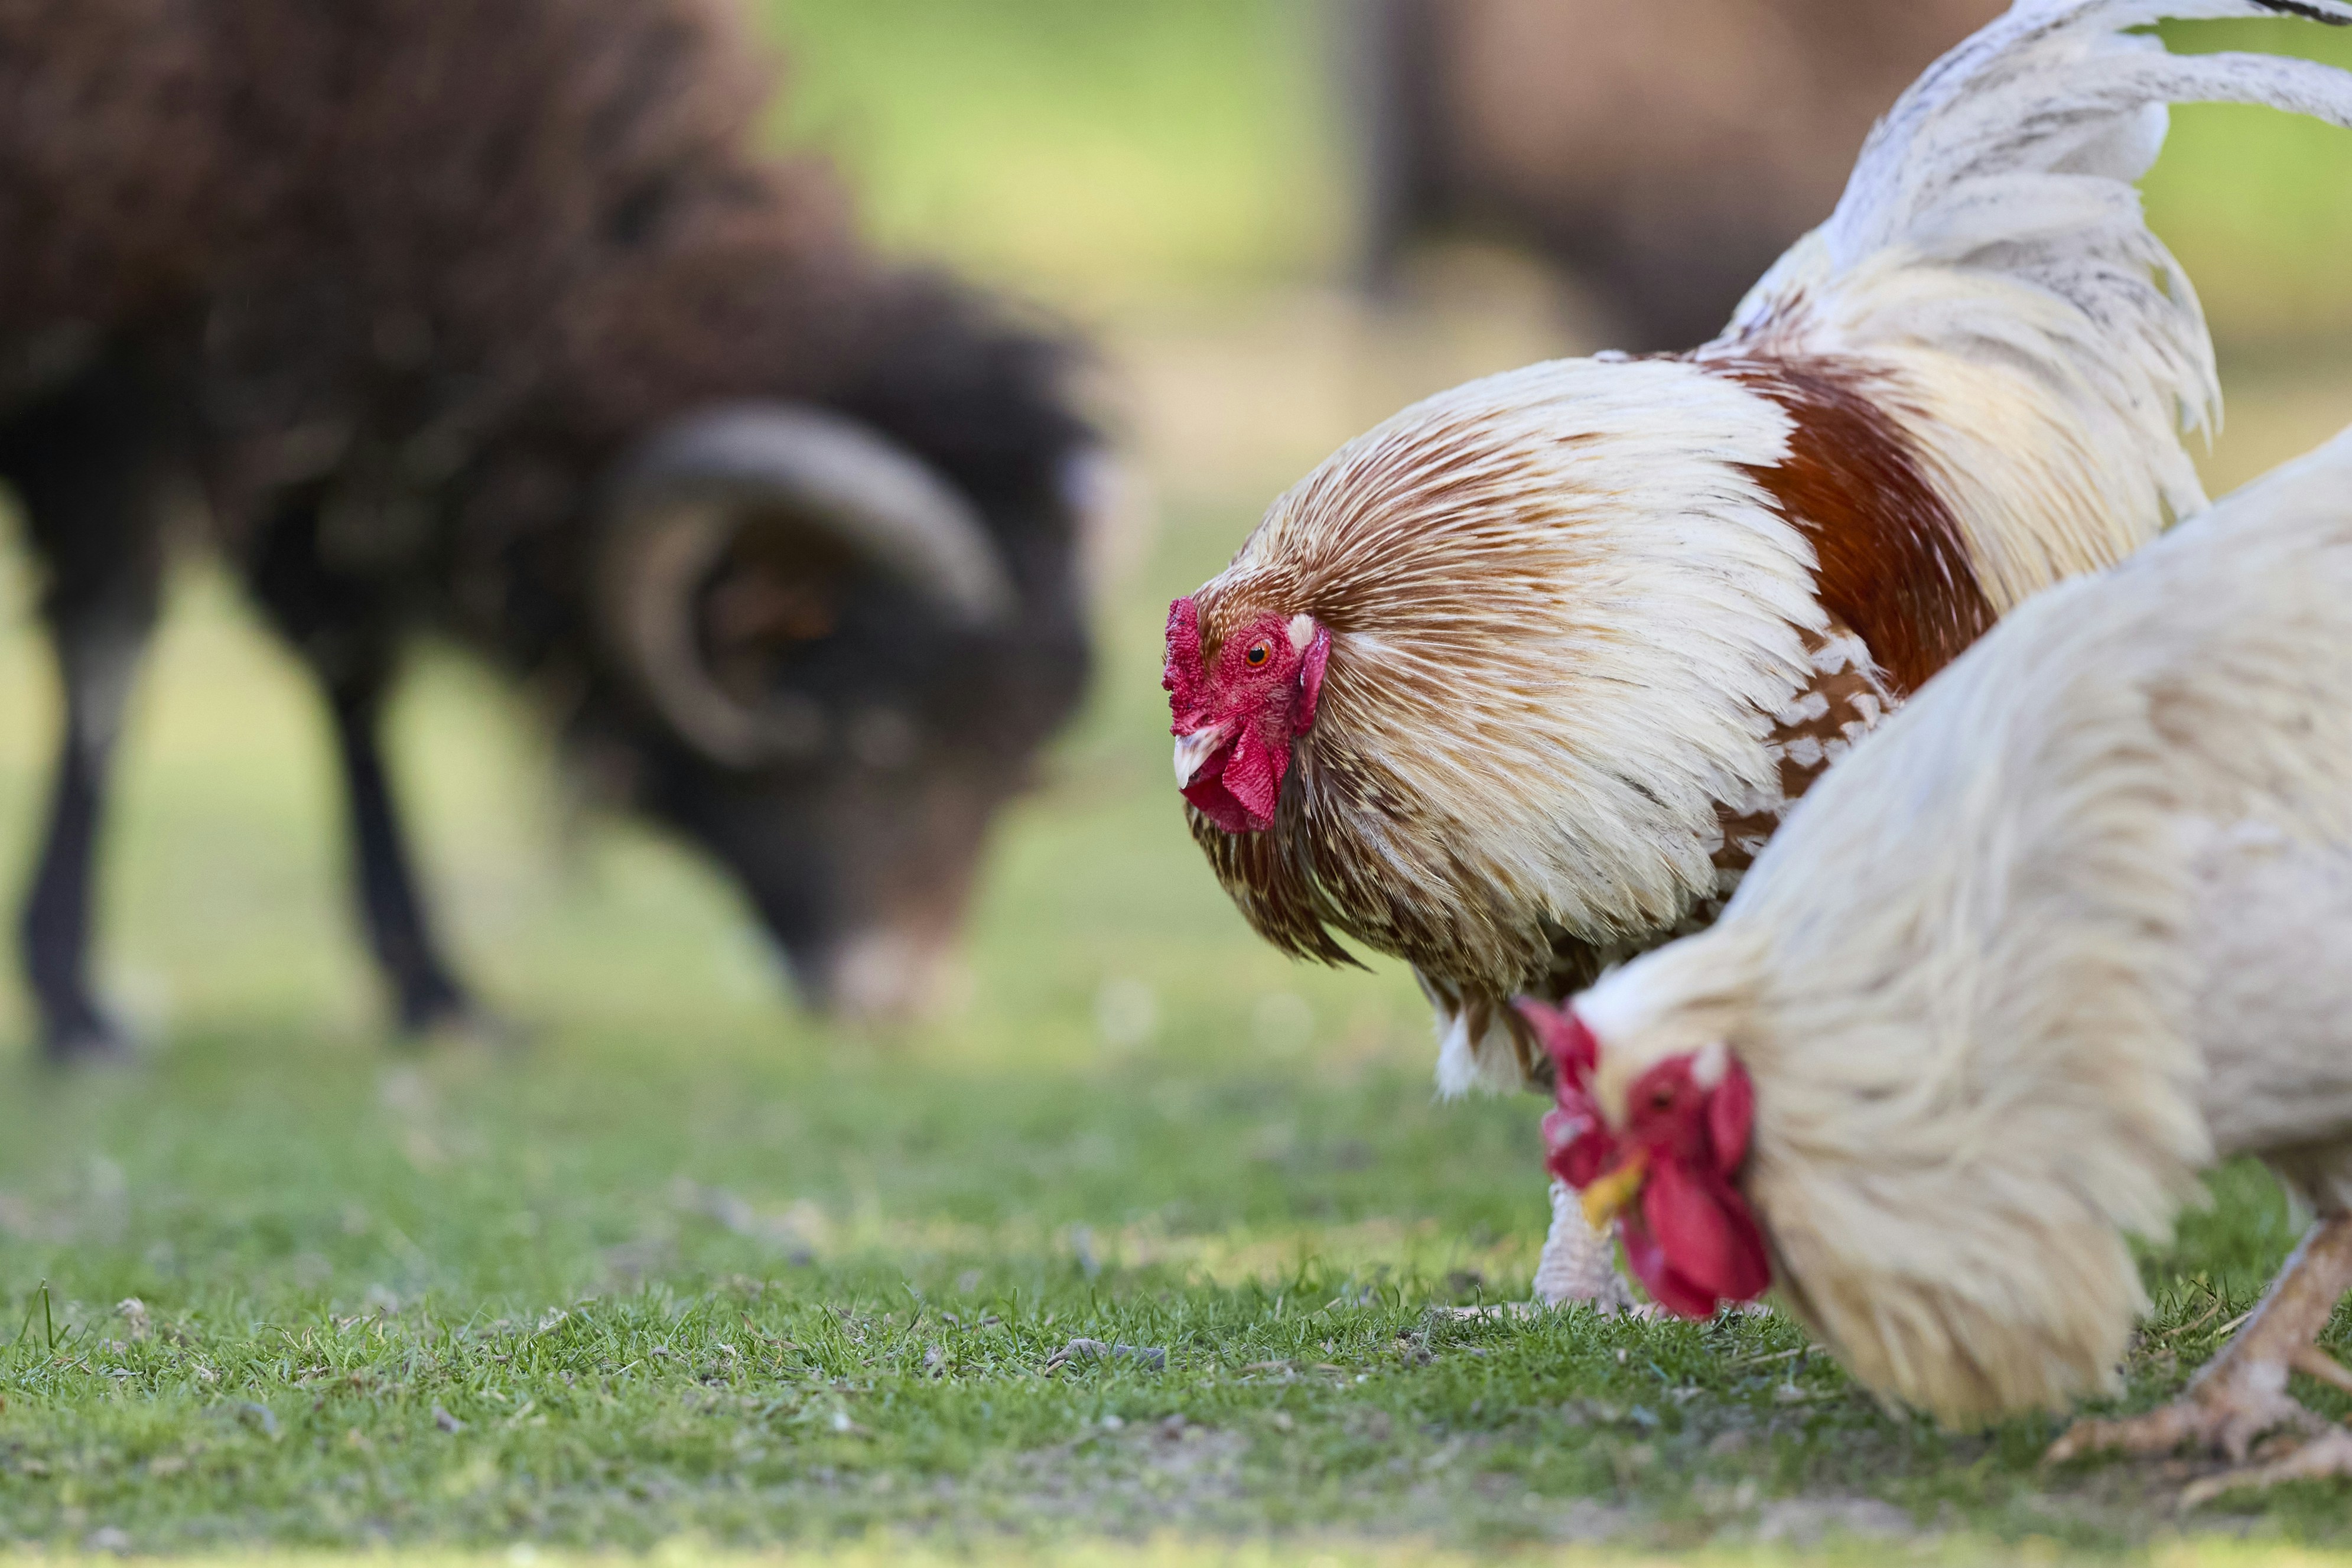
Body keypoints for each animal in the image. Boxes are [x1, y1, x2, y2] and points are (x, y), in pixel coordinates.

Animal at [0, 0, 1100, 1058]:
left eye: (1015, 752)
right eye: (878, 738)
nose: (904, 1000)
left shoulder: (308, 400)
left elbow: (352, 671)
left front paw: (440, 993)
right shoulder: (126, 357)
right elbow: (109, 643)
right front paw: (75, 1008)